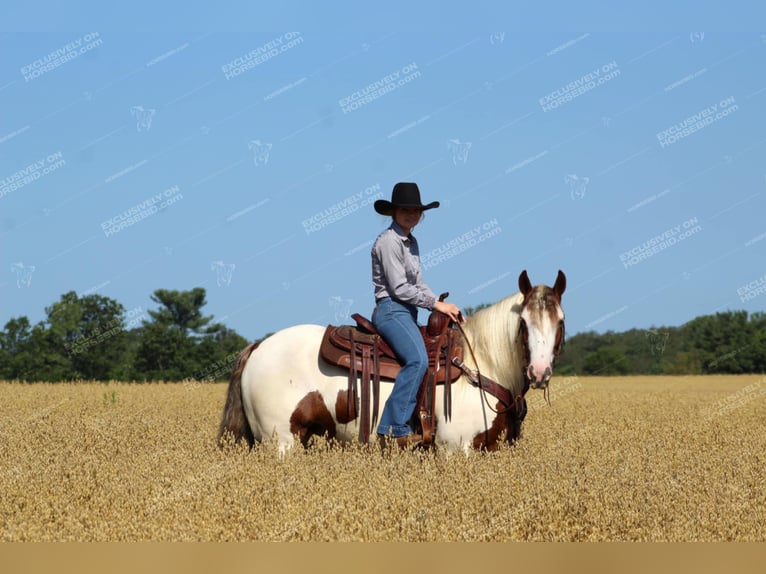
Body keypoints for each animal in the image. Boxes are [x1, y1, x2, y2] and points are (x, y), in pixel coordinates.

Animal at [219, 270, 568, 454]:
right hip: (280, 442)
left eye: (560, 321)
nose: (539, 372)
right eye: (523, 323)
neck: (481, 364)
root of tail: (259, 346)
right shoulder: (455, 449)